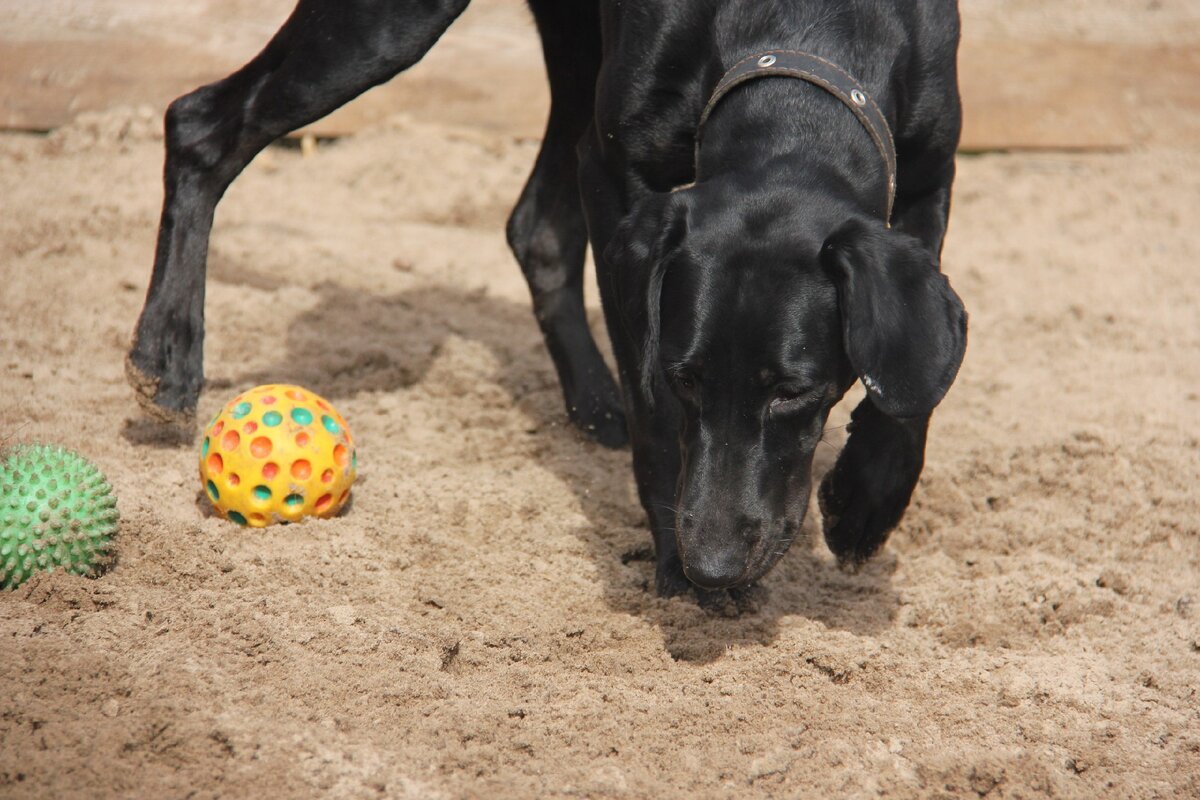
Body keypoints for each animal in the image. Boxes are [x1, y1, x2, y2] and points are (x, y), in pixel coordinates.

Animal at [129, 0, 964, 597]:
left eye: (795, 392)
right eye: (688, 378)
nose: (715, 563)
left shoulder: (926, 174)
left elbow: (911, 381)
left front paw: (867, 501)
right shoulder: (622, 178)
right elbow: (655, 406)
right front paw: (672, 560)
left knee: (535, 227)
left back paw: (591, 399)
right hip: (385, 28)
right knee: (201, 122)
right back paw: (167, 355)